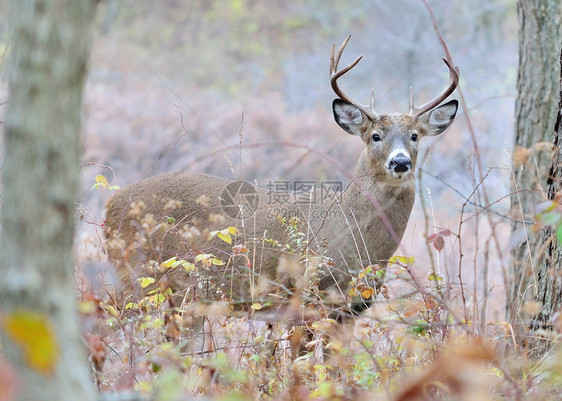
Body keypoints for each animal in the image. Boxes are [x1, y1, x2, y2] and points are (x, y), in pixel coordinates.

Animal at [103, 34, 458, 322]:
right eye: (375, 135)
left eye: (415, 136)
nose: (400, 162)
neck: (347, 232)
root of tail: (110, 203)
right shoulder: (303, 294)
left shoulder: (351, 309)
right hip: (137, 277)